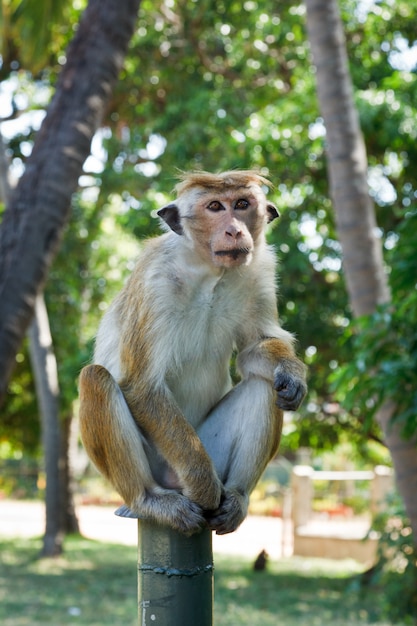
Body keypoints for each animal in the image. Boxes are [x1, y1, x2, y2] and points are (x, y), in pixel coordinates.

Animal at [78, 168, 306, 532]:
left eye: (242, 204)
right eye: (214, 207)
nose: (235, 229)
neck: (210, 271)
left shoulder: (259, 272)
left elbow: (254, 350)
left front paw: (292, 372)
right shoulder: (154, 279)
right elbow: (143, 385)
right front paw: (204, 488)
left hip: (210, 448)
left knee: (264, 385)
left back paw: (237, 497)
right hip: (168, 459)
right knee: (95, 378)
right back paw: (150, 501)